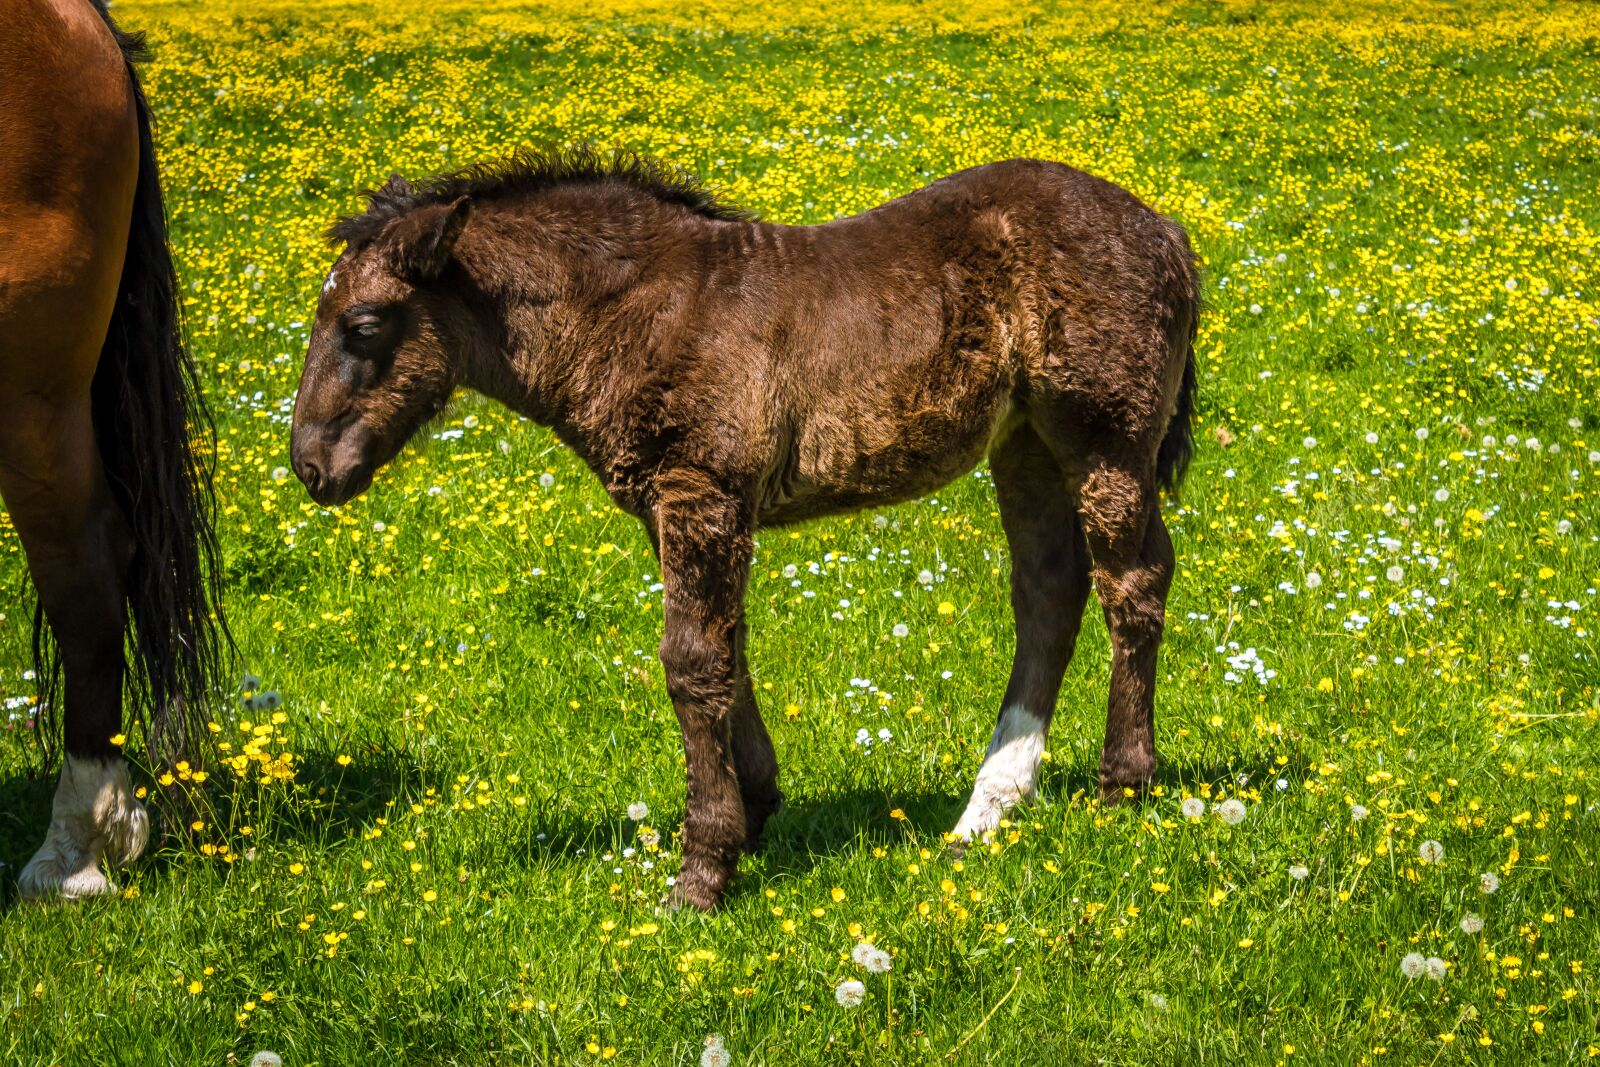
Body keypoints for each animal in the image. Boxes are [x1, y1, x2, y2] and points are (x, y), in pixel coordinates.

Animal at [290, 147, 1199, 911]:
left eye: (364, 324)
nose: (310, 466)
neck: (641, 311)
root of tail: (1165, 229)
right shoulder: (686, 508)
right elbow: (727, 651)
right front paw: (756, 809)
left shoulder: (702, 494)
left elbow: (691, 663)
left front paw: (703, 868)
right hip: (1025, 443)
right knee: (1049, 592)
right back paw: (989, 807)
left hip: (1103, 438)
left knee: (1132, 584)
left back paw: (1122, 783)